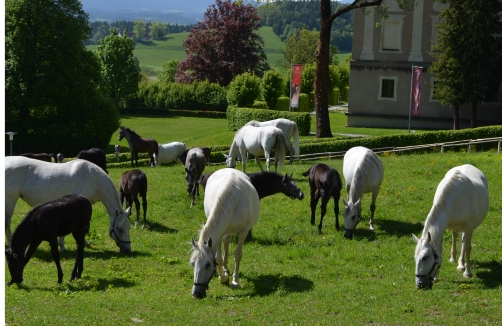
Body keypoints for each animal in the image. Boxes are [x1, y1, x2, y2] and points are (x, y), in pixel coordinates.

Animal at [188, 168, 258, 298]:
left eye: (207, 265)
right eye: (192, 263)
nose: (196, 294)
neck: (233, 202)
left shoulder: (243, 232)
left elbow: (237, 255)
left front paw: (235, 281)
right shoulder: (218, 234)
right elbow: (218, 258)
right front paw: (223, 278)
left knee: (227, 242)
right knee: (226, 243)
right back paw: (225, 268)